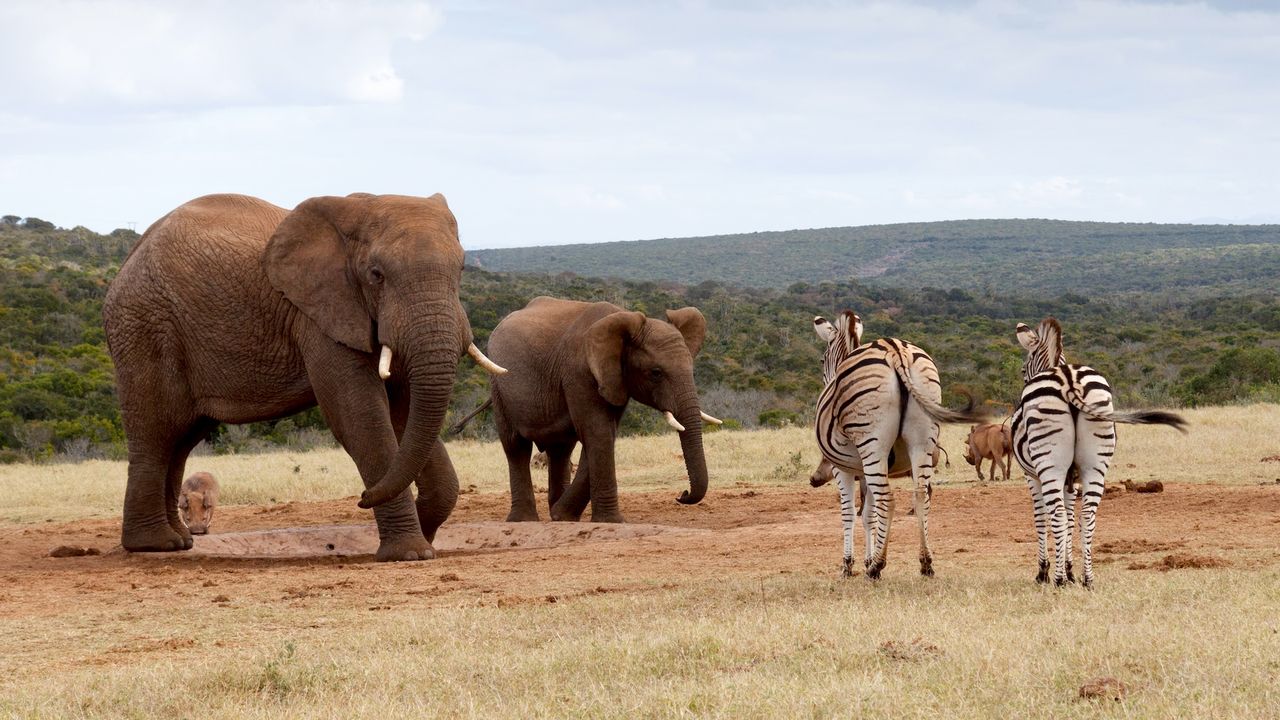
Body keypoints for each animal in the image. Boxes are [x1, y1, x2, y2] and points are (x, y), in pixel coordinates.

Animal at [103, 192, 505, 561]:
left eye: (462, 269)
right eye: (377, 275)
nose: (362, 499)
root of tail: (128, 262)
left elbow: (403, 411)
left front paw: (421, 537)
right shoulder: (318, 315)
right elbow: (358, 414)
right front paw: (410, 553)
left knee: (181, 440)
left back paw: (180, 543)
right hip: (145, 328)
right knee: (158, 432)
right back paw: (155, 545)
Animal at [486, 296, 718, 523]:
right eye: (656, 373)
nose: (682, 494)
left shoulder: (615, 379)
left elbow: (603, 434)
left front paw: (562, 515)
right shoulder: (579, 373)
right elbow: (598, 433)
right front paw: (610, 521)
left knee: (560, 449)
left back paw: (558, 515)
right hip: (499, 386)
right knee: (516, 446)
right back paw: (523, 520)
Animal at [813, 311, 988, 579]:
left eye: (823, 359)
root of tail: (895, 350)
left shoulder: (841, 468)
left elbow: (849, 514)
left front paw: (849, 564)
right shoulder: (862, 471)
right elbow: (868, 514)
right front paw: (866, 558)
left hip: (873, 443)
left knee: (888, 499)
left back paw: (877, 567)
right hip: (922, 439)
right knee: (921, 495)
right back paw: (925, 563)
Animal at [1012, 317, 1187, 588]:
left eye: (1023, 370)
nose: (1023, 379)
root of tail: (1069, 379)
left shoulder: (1031, 476)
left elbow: (1042, 519)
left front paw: (1045, 572)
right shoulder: (1072, 479)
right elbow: (1071, 518)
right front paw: (1070, 571)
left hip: (1050, 464)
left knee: (1058, 515)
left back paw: (1059, 581)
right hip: (1095, 463)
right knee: (1087, 516)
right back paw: (1087, 579)